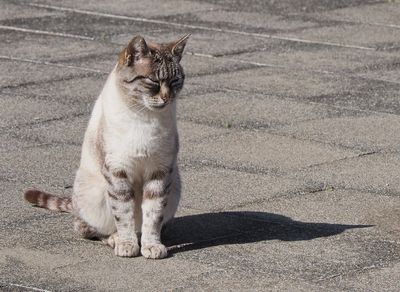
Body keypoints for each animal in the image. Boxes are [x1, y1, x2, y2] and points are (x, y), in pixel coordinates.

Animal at [24, 34, 190, 260]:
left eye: (175, 81)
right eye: (153, 81)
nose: (167, 97)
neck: (145, 116)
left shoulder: (160, 171)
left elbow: (153, 215)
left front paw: (151, 245)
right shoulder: (117, 169)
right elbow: (123, 213)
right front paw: (127, 244)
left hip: (175, 186)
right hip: (93, 193)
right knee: (87, 228)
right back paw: (114, 238)